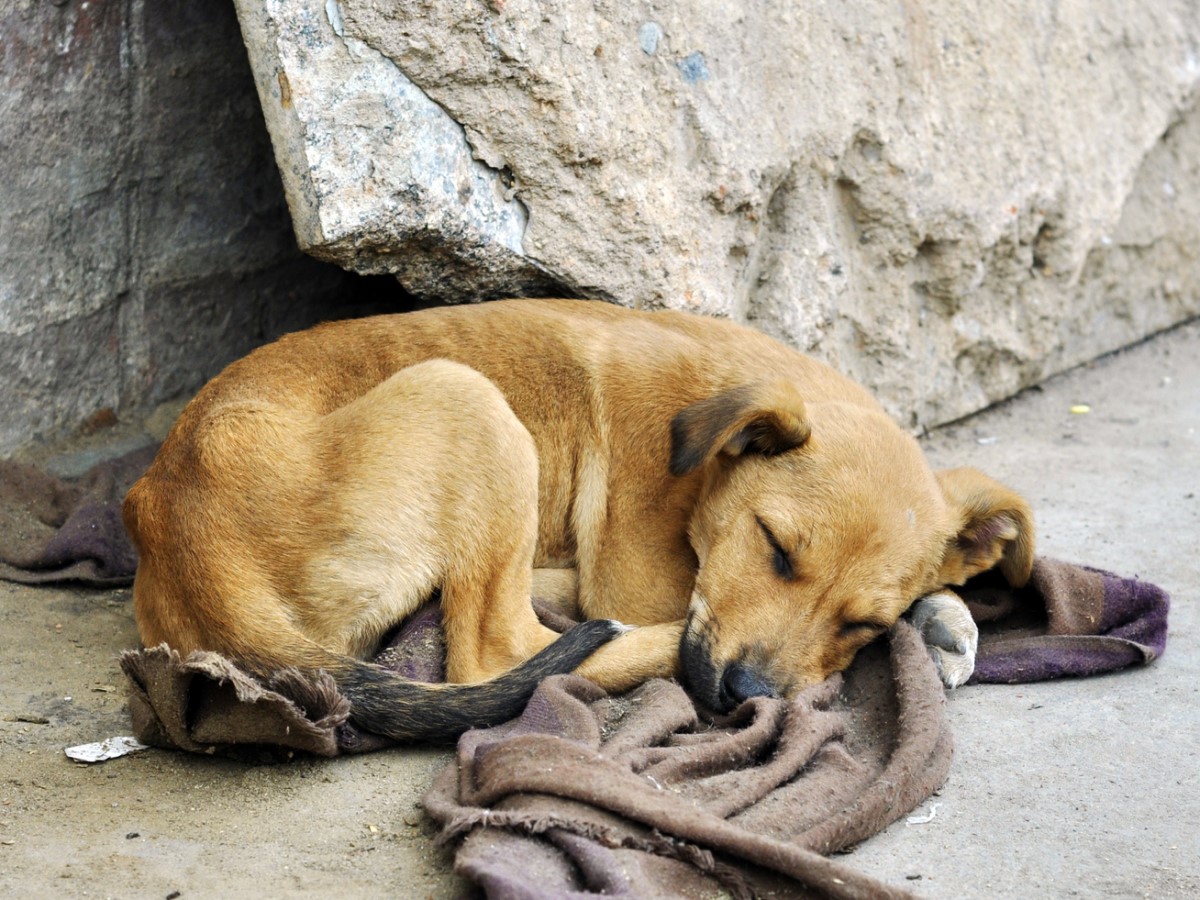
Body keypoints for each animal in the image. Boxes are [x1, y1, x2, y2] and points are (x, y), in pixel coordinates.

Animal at [126, 300, 1036, 744]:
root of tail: (179, 526)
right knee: (498, 653)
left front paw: (943, 616)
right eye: (775, 547)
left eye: (862, 622)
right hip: (467, 399)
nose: (743, 697)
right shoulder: (644, 577)